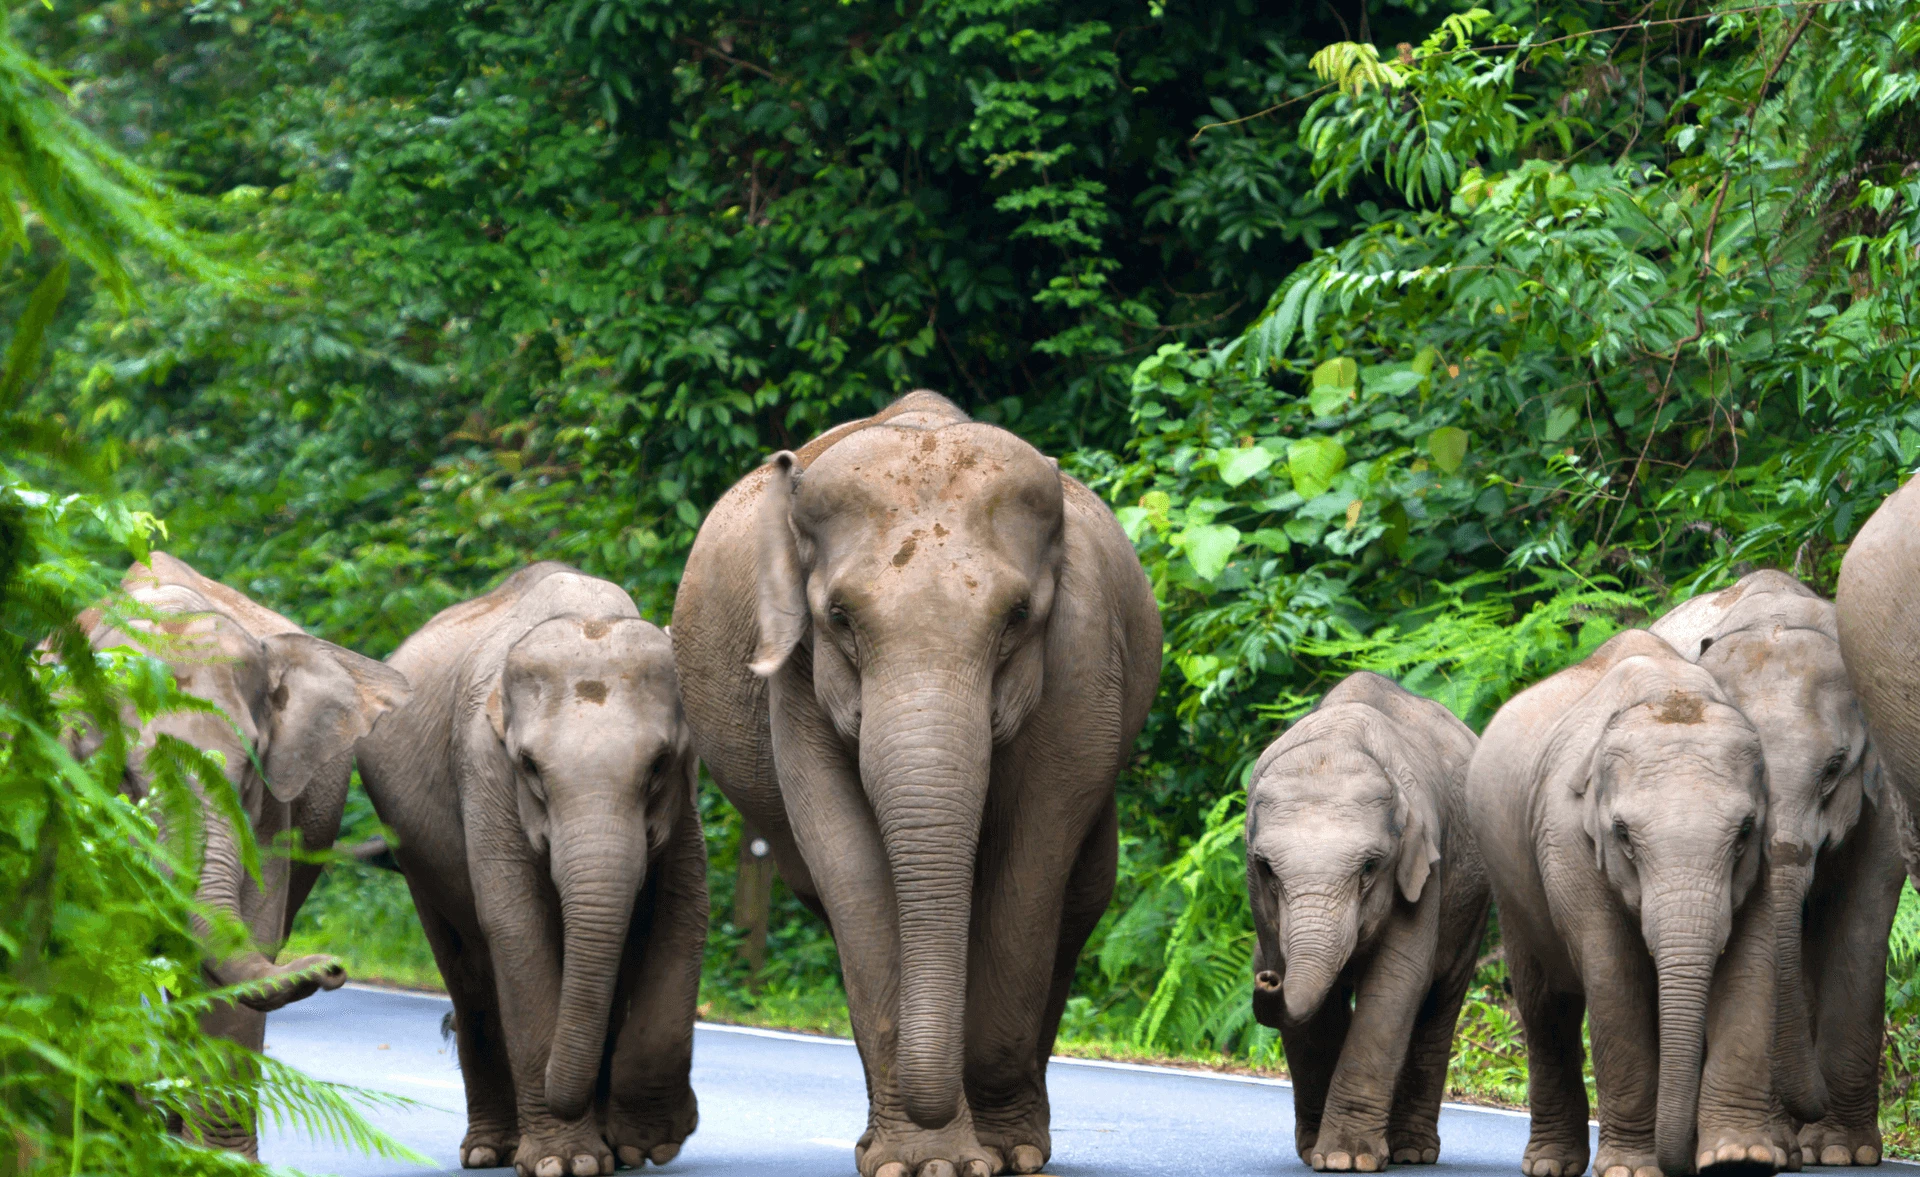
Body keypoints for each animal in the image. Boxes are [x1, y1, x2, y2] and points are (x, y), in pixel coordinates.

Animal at [77, 553, 411, 1154]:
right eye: (126, 776)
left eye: (251, 763)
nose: (333, 966)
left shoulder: (276, 809)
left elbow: (244, 946)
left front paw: (215, 1160)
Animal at [356, 563, 707, 1177]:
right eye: (530, 767)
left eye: (659, 764)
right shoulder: (483, 771)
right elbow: (516, 926)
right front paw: (566, 1163)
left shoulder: (685, 800)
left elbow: (684, 914)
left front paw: (646, 1145)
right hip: (414, 853)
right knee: (468, 973)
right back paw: (490, 1150)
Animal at [671, 390, 1162, 1177]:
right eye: (839, 616)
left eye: (1017, 616)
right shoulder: (795, 683)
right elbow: (849, 864)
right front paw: (925, 1161)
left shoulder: (1083, 659)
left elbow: (1032, 860)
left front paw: (999, 1152)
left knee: (1082, 894)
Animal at [1245, 672, 1489, 1173]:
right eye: (1267, 869)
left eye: (1370, 867)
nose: (1266, 977)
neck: (1336, 741)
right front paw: (1327, 1154)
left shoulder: (1425, 867)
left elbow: (1396, 983)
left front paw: (1346, 1159)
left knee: (1440, 1002)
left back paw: (1413, 1152)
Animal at [1467, 629, 1780, 1177]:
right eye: (1623, 835)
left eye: (1744, 832)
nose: (1681, 1161)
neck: (1670, 691)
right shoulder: (1566, 840)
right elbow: (1615, 976)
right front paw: (1633, 1169)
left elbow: (1749, 965)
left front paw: (1737, 1158)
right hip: (1510, 888)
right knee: (1545, 1008)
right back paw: (1550, 1165)